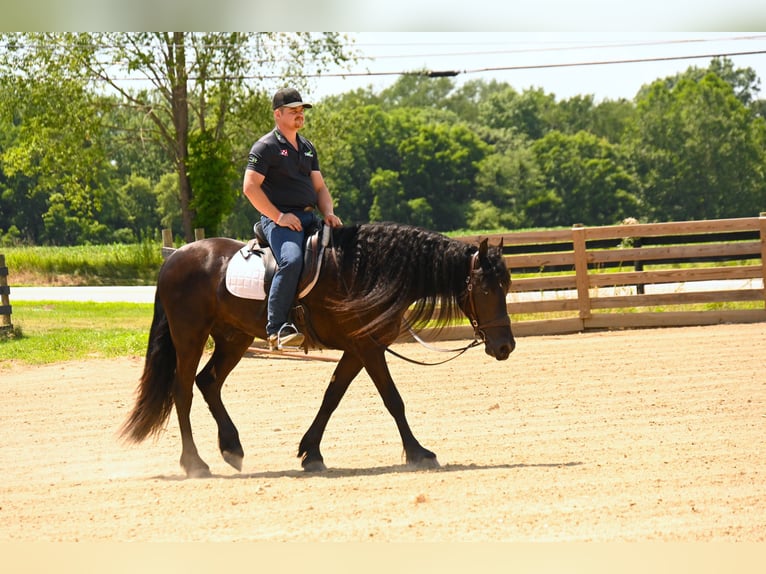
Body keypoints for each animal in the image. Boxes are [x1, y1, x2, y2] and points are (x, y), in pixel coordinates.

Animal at [120, 221, 515, 478]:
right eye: (484, 289)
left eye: (507, 286)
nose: (505, 346)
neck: (365, 270)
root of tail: (175, 258)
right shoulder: (368, 348)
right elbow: (393, 399)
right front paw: (419, 453)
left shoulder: (358, 349)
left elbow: (332, 397)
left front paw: (311, 453)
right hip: (190, 336)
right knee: (182, 390)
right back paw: (195, 463)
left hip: (234, 338)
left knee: (208, 383)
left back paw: (231, 447)